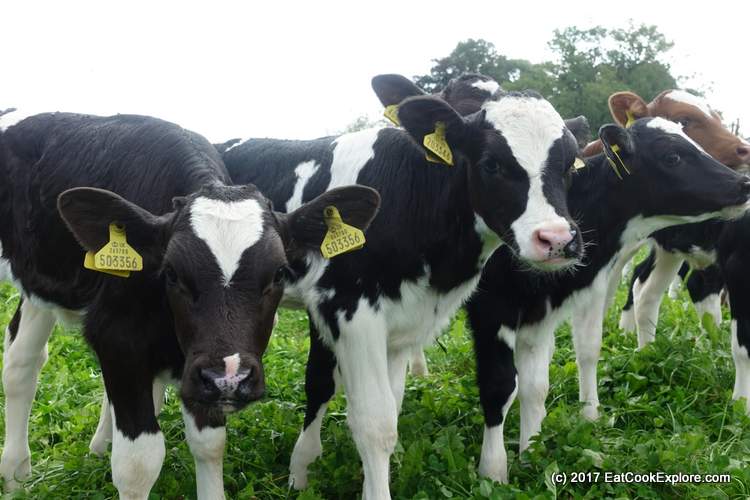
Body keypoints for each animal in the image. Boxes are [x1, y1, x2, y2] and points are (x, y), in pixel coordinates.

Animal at [0, 110, 380, 499]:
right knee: (21, 362)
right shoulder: (117, 336)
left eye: (278, 273)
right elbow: (138, 463)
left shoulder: (199, 363)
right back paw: (15, 475)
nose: (230, 379)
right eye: (171, 272)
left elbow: (209, 444)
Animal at [220, 74, 585, 499]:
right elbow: (372, 420)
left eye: (569, 166)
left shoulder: (401, 319)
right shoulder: (348, 308)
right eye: (492, 163)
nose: (556, 239)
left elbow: (390, 403)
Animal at [468, 117, 750, 483]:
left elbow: (542, 380)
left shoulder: (543, 310)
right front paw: (493, 472)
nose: (744, 184)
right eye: (672, 156)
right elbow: (500, 384)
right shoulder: (490, 309)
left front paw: (535, 450)